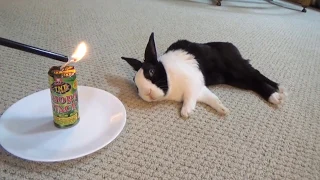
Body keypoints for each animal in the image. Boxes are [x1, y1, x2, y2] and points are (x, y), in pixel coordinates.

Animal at [121, 32, 286, 118]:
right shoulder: (200, 89)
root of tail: (231, 46)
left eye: (151, 72)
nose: (147, 93)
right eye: (136, 86)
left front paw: (186, 112)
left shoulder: (192, 83)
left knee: (256, 76)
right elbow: (211, 99)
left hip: (237, 69)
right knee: (253, 81)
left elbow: (189, 99)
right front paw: (223, 109)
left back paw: (277, 94)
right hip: (236, 79)